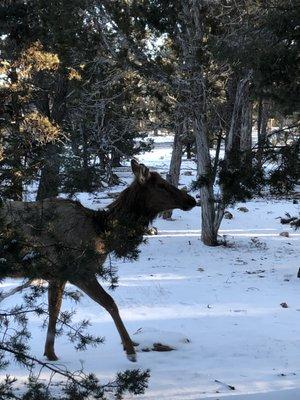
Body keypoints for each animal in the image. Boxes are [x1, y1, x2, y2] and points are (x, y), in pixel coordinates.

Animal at [0, 160, 196, 362]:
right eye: (161, 185)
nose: (191, 200)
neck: (102, 233)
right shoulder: (80, 272)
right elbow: (110, 303)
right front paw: (130, 349)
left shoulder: (57, 276)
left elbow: (54, 310)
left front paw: (50, 354)